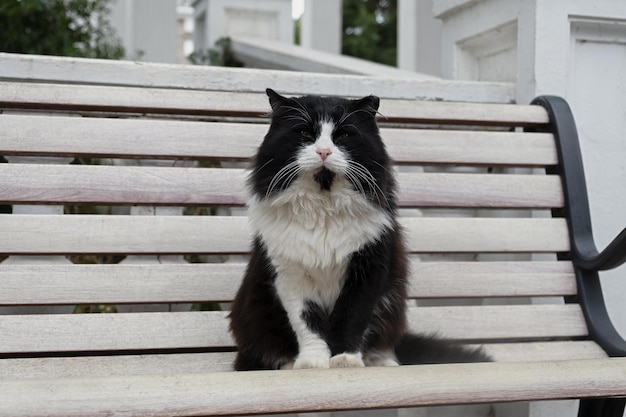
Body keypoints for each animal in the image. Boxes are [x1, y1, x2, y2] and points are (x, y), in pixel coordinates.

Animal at [229, 88, 488, 370]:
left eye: (343, 135)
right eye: (305, 133)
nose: (323, 152)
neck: (324, 206)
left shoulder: (368, 271)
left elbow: (351, 319)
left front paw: (345, 359)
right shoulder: (290, 276)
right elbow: (307, 323)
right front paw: (312, 362)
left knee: (383, 345)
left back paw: (385, 363)